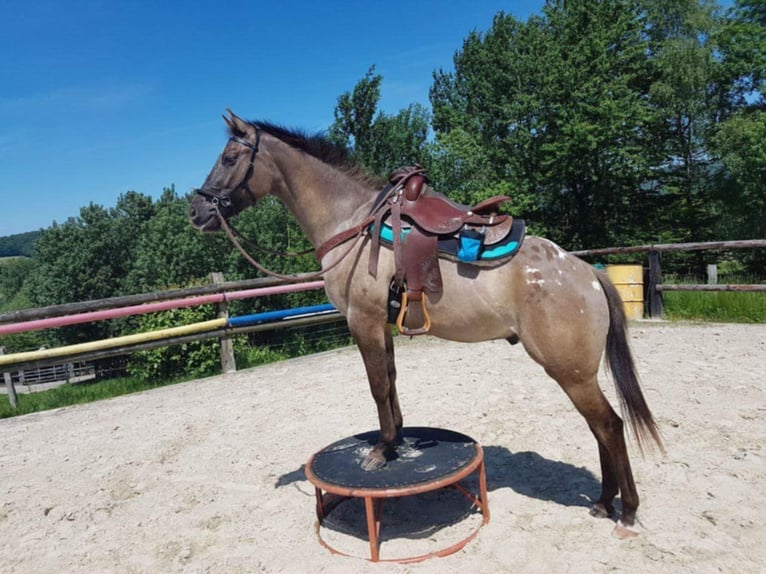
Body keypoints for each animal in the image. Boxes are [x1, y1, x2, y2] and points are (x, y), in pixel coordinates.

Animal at [189, 110, 664, 536]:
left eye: (229, 157)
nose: (196, 210)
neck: (352, 223)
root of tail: (588, 274)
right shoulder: (382, 326)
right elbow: (391, 382)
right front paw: (396, 441)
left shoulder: (362, 322)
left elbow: (377, 385)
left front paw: (380, 451)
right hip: (577, 372)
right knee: (600, 428)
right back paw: (603, 503)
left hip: (570, 371)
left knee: (609, 426)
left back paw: (626, 511)